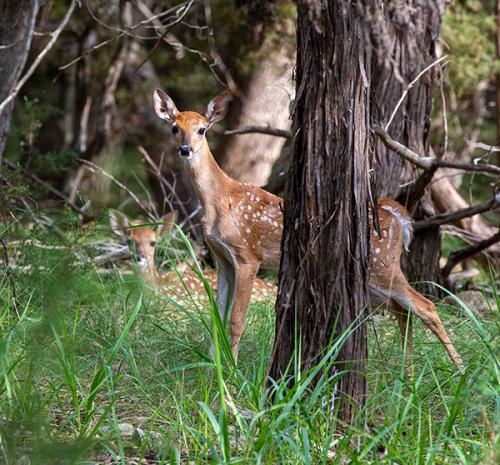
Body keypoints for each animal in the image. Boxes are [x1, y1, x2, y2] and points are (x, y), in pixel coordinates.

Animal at [152, 88, 464, 370]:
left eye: (202, 130)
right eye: (175, 128)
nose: (185, 149)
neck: (219, 200)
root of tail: (397, 216)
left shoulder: (247, 255)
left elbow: (236, 320)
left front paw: (231, 372)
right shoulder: (222, 259)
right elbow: (216, 316)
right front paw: (210, 369)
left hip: (382, 265)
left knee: (426, 306)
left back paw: (459, 371)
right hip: (374, 279)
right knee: (404, 312)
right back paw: (407, 377)